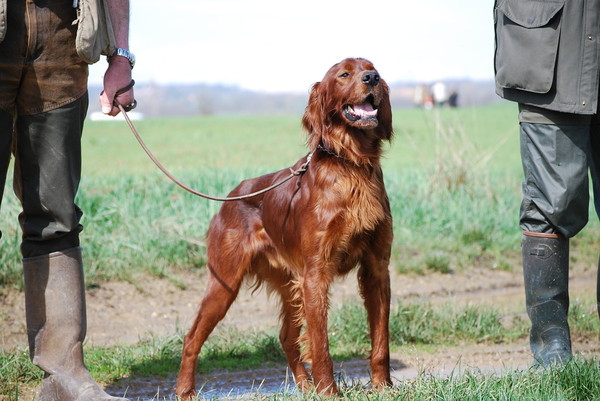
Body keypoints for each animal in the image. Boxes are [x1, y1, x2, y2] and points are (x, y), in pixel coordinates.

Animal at [176, 57, 396, 396]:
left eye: (373, 68)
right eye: (344, 74)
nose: (371, 78)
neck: (350, 165)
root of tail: (231, 197)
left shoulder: (376, 268)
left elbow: (381, 341)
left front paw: (383, 387)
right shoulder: (316, 274)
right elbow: (320, 344)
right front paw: (329, 393)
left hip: (289, 283)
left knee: (286, 338)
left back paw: (305, 386)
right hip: (224, 281)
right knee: (192, 337)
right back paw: (185, 391)